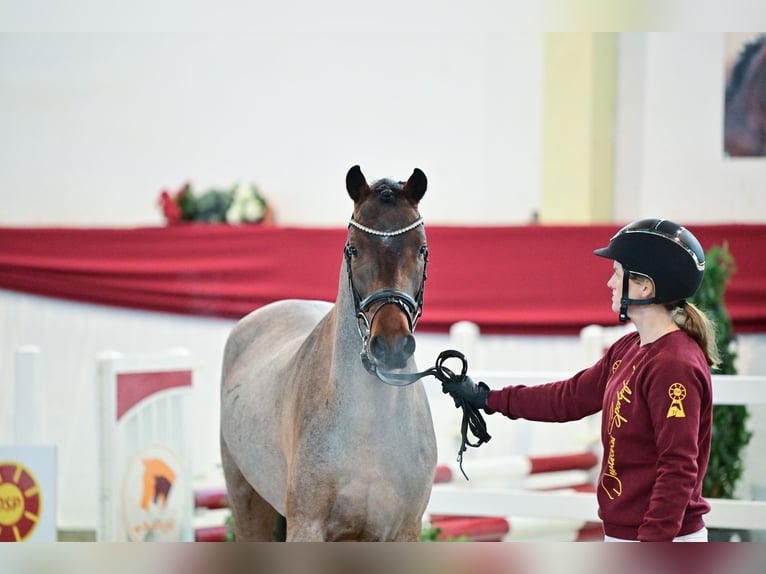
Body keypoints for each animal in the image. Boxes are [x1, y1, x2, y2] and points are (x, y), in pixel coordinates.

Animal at [220, 164, 438, 544]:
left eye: (421, 249)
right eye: (354, 249)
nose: (392, 345)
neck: (368, 427)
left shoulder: (403, 531)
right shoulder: (307, 527)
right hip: (246, 499)